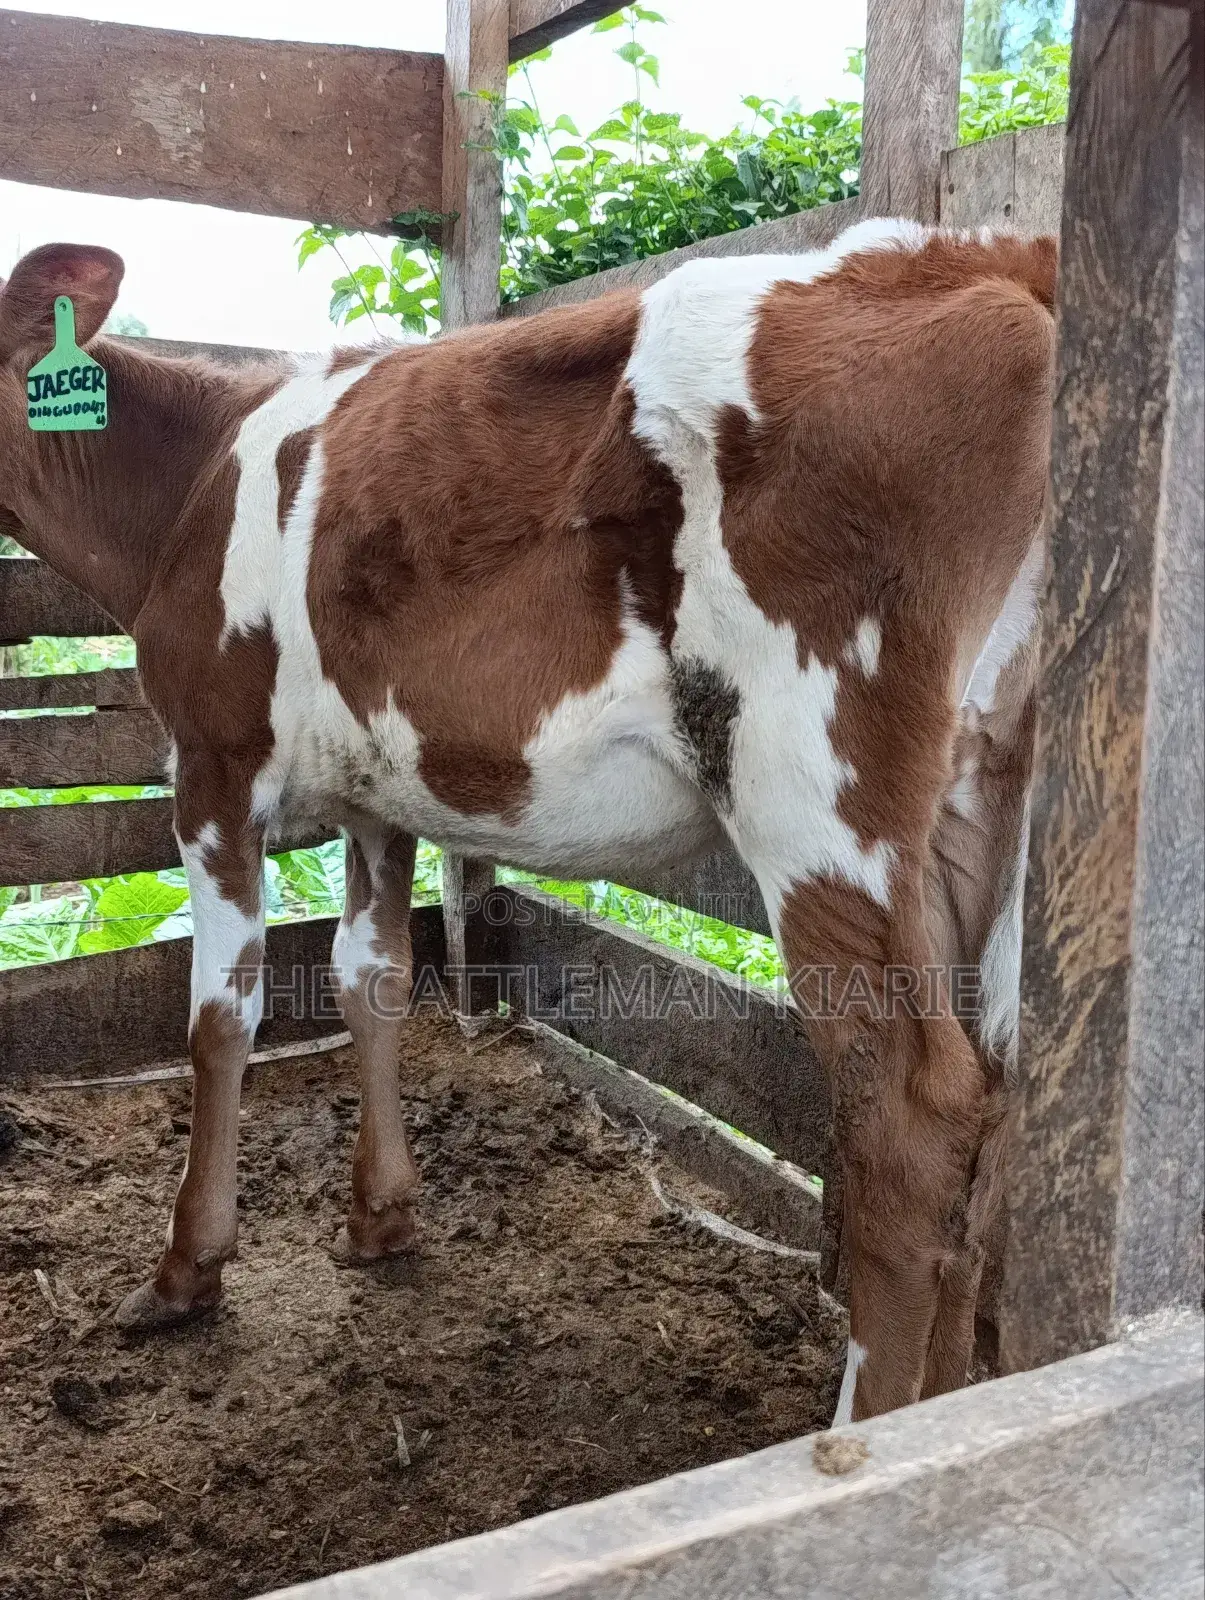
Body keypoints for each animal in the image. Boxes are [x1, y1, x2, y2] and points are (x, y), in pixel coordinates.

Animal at [0, 217, 1056, 1422]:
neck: (185, 488)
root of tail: (980, 255)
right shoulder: (375, 790)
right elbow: (370, 979)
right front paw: (380, 1217)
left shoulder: (214, 764)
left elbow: (222, 1014)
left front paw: (186, 1268)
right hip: (980, 798)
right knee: (992, 1110)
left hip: (819, 788)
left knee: (910, 1113)